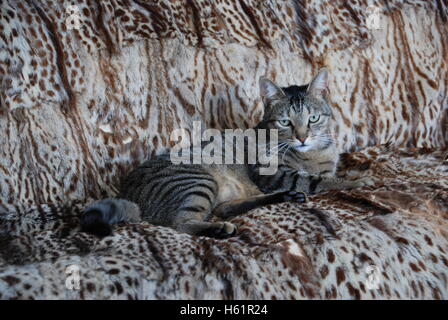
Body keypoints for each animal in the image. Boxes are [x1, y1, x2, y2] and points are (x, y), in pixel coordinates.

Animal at [79, 69, 372, 238]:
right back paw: (219, 228)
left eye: (313, 118)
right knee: (181, 223)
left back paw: (284, 197)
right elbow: (319, 180)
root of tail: (125, 191)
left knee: (224, 208)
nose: (301, 137)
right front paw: (358, 181)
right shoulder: (275, 174)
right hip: (196, 180)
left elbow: (326, 175)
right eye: (285, 122)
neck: (314, 154)